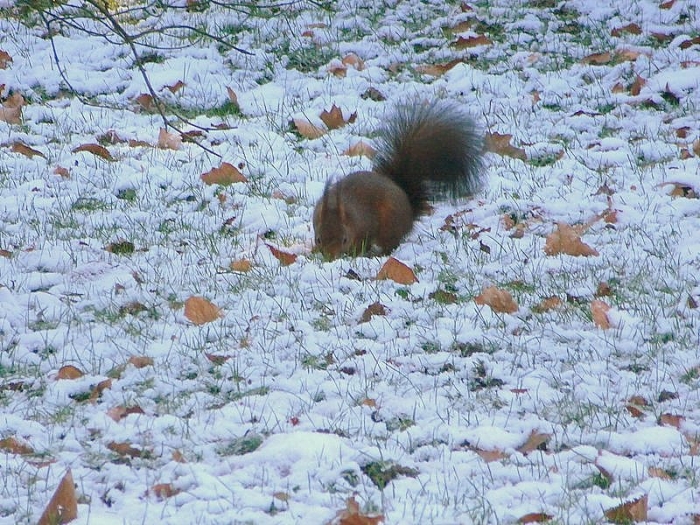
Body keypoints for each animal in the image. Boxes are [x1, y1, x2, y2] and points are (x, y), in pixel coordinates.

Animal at [313, 99, 484, 259]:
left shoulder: (366, 226)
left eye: (344, 240)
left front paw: (355, 254)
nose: (330, 257)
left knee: (391, 243)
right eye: (318, 239)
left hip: (390, 225)